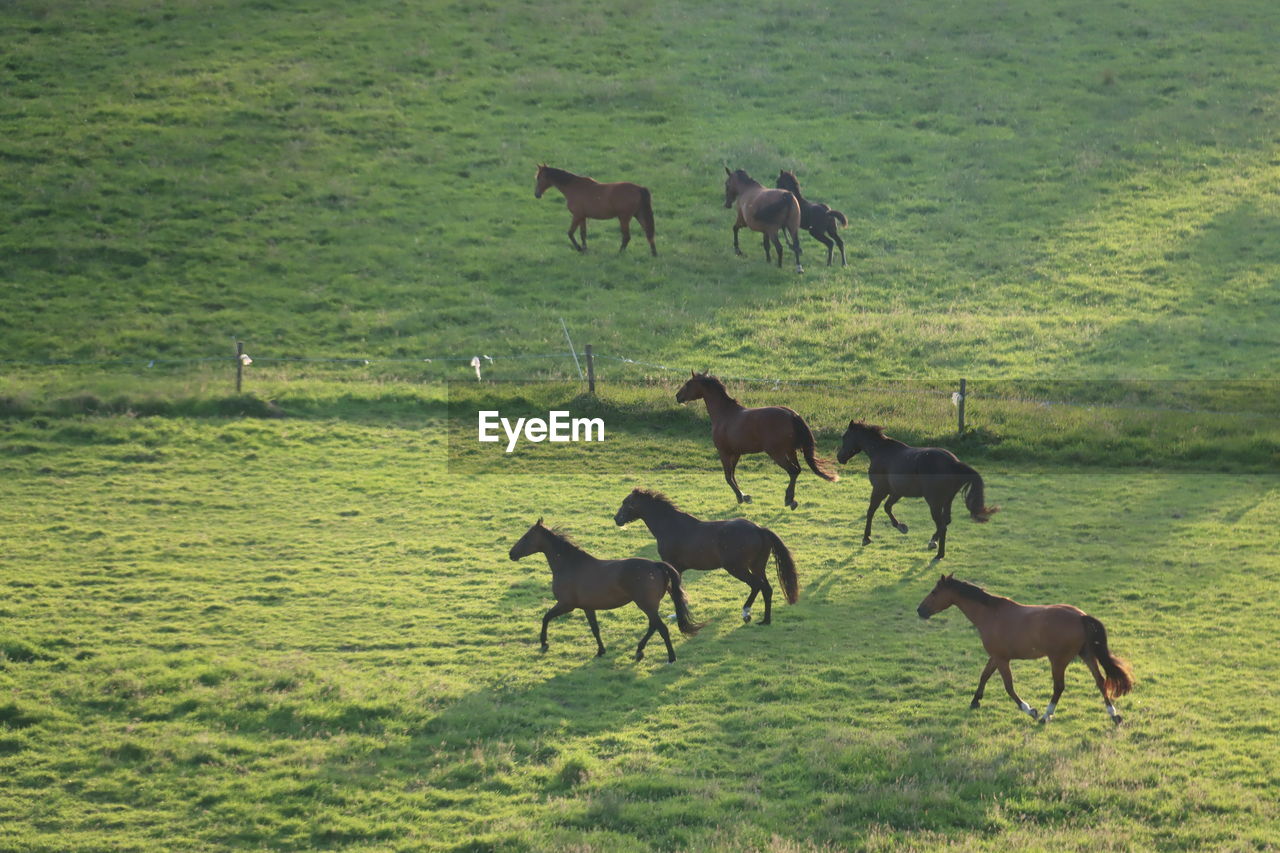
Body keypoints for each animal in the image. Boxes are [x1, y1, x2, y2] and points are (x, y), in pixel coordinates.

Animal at [504, 514, 701, 660]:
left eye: (527, 537)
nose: (511, 554)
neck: (570, 565)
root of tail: (657, 565)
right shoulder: (587, 607)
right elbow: (595, 628)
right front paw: (600, 651)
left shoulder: (566, 604)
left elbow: (546, 617)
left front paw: (544, 643)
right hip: (650, 606)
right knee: (654, 626)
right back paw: (639, 651)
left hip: (646, 605)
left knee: (662, 628)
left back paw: (670, 658)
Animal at [614, 484, 793, 625]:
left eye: (626, 503)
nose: (616, 519)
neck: (670, 526)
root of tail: (759, 529)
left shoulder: (672, 565)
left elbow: (676, 590)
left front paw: (677, 615)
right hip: (757, 566)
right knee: (767, 588)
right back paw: (765, 620)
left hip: (737, 568)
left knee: (757, 585)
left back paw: (746, 613)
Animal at [670, 371, 839, 504]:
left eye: (688, 383)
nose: (677, 396)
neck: (725, 414)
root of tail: (792, 415)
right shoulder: (736, 453)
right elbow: (733, 475)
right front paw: (744, 496)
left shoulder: (724, 452)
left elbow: (728, 477)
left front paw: (741, 497)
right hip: (791, 451)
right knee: (797, 470)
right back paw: (791, 499)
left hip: (777, 453)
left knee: (793, 471)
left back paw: (789, 500)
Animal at [829, 417, 998, 558]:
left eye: (845, 437)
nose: (840, 457)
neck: (881, 452)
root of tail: (954, 463)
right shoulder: (896, 492)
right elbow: (887, 507)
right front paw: (901, 527)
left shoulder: (879, 490)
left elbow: (871, 511)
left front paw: (866, 538)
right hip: (947, 500)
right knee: (946, 521)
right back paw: (932, 542)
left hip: (934, 502)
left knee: (942, 525)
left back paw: (939, 554)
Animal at [916, 571, 1136, 722]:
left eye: (934, 592)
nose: (920, 610)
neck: (990, 614)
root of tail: (1081, 616)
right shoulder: (995, 657)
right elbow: (984, 676)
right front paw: (975, 701)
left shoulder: (1002, 659)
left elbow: (1009, 687)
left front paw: (1029, 709)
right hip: (1087, 655)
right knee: (1100, 681)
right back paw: (1114, 715)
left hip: (1059, 660)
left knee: (1059, 687)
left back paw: (1046, 715)